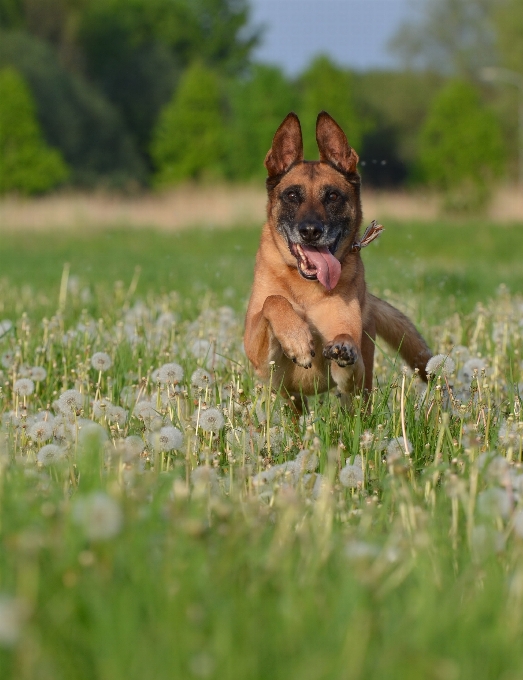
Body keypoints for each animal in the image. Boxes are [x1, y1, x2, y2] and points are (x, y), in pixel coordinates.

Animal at [244, 112, 432, 410]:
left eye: (332, 196)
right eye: (292, 195)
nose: (311, 231)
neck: (306, 288)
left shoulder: (354, 375)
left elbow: (345, 344)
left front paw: (343, 346)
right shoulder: (259, 357)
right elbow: (272, 301)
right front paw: (297, 338)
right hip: (287, 398)